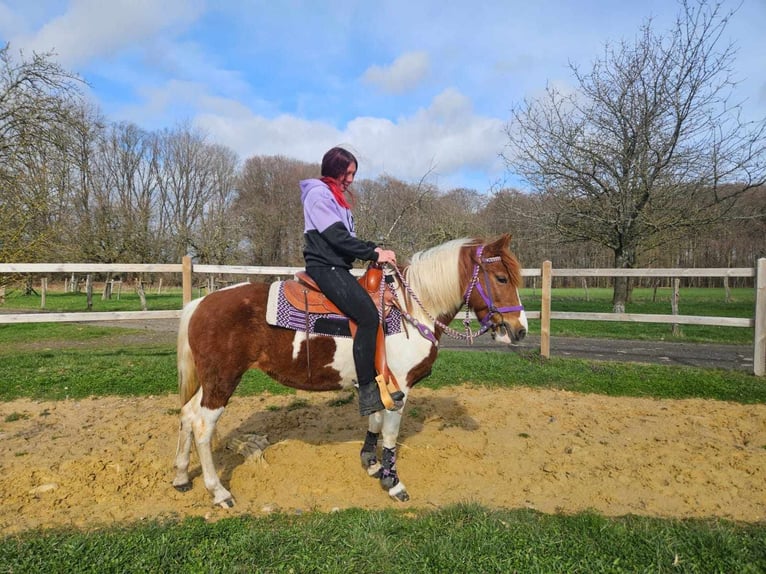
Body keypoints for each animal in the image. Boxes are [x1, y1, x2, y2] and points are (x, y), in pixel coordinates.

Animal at [172, 234, 528, 508]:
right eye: (501, 278)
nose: (519, 330)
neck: (410, 310)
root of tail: (200, 304)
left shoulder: (378, 383)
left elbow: (374, 422)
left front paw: (371, 464)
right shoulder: (400, 388)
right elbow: (390, 434)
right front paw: (393, 483)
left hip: (209, 380)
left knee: (187, 414)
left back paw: (180, 476)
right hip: (222, 380)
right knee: (203, 426)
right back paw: (219, 492)